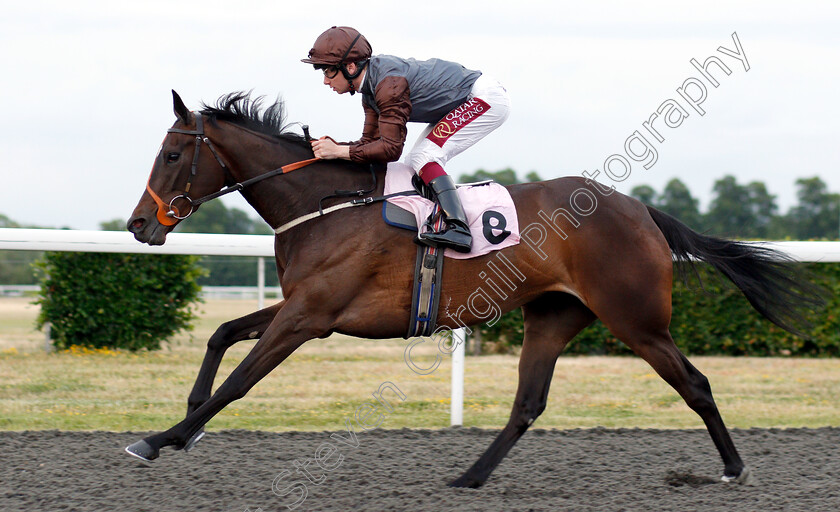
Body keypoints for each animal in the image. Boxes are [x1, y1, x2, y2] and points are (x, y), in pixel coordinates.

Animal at [124, 91, 820, 488]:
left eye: (170, 155)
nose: (137, 225)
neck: (324, 204)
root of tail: (641, 209)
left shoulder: (310, 316)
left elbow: (241, 381)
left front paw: (158, 439)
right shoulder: (299, 304)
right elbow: (221, 333)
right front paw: (187, 422)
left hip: (638, 322)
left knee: (695, 384)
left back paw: (732, 469)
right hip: (553, 316)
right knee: (528, 403)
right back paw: (469, 476)